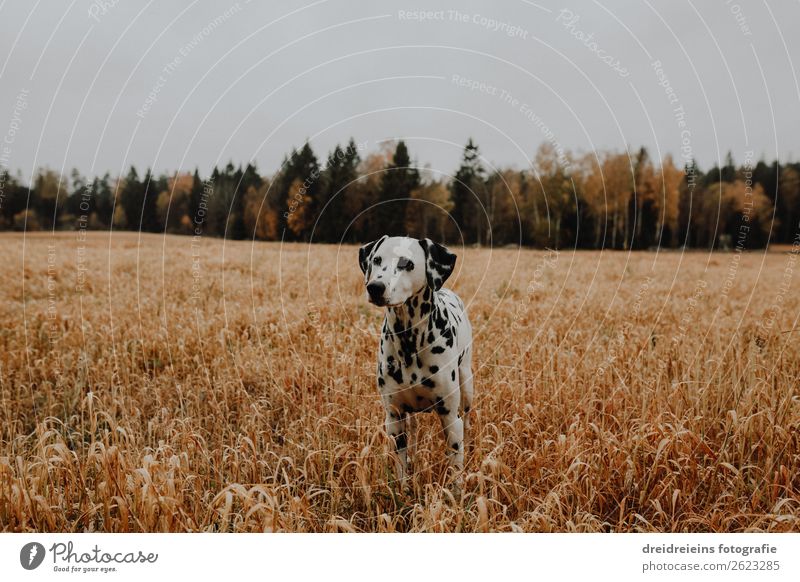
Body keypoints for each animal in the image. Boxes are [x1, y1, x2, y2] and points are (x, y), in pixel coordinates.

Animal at [358, 235, 472, 490]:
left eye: (406, 263)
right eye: (377, 259)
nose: (375, 287)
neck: (409, 341)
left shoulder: (451, 418)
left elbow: (456, 468)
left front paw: (458, 495)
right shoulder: (395, 417)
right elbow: (401, 466)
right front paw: (403, 490)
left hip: (467, 386)